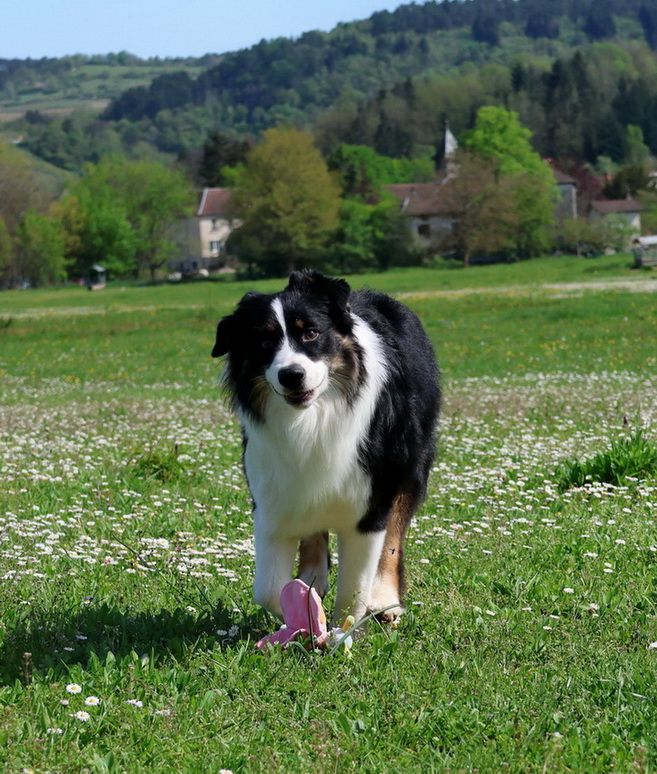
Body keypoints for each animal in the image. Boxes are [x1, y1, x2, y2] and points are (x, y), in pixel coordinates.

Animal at [213, 270, 438, 628]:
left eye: (311, 333)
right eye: (263, 341)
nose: (291, 375)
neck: (312, 419)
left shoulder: (371, 502)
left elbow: (354, 590)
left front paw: (339, 631)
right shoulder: (271, 497)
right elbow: (268, 590)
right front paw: (304, 609)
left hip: (410, 465)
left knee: (394, 534)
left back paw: (385, 600)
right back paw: (312, 578)